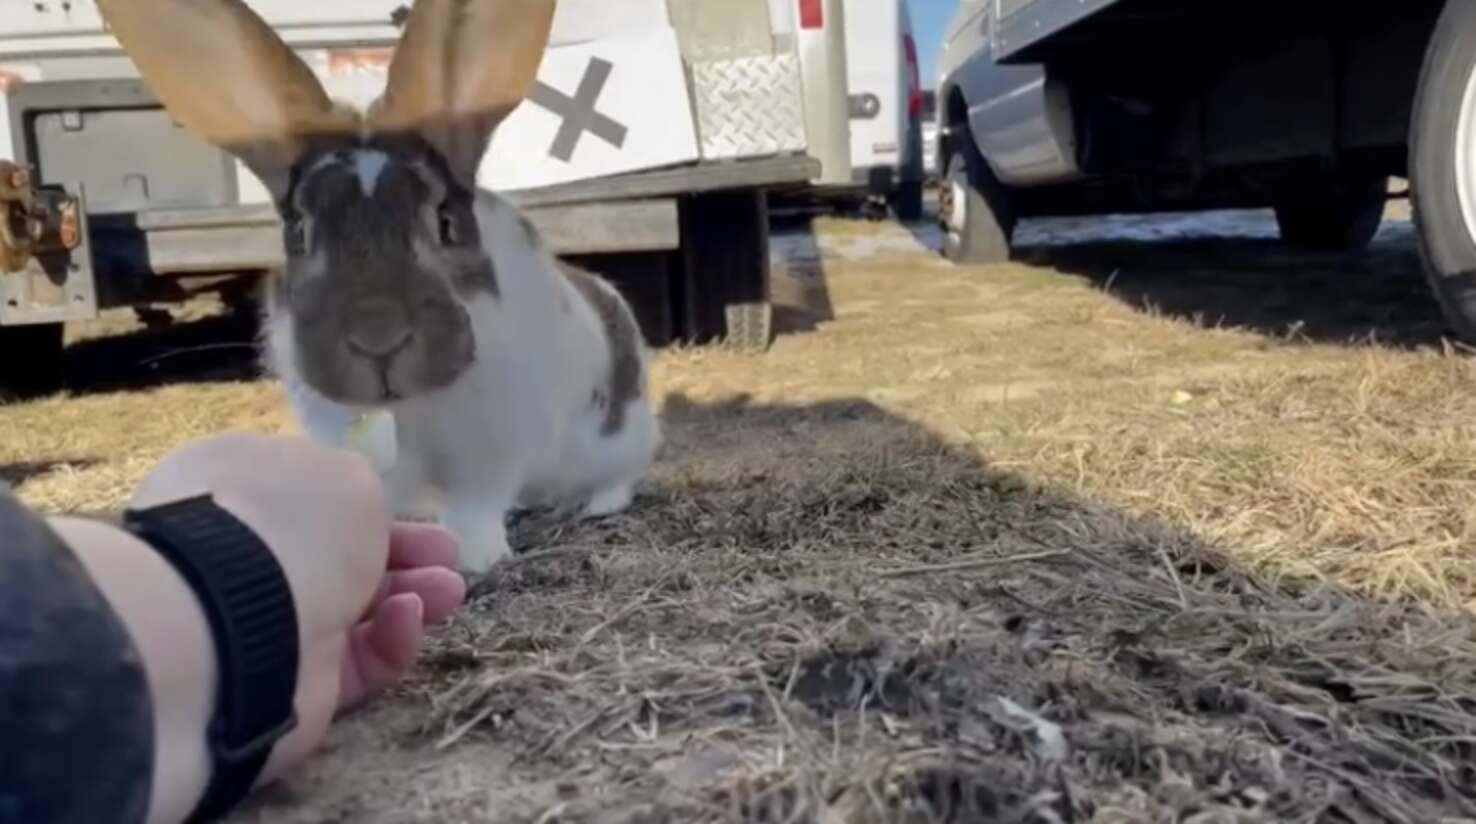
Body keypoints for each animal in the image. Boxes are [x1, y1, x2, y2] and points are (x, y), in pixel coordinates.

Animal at [97, 0, 661, 575]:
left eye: (446, 221)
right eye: (297, 231)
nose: (377, 337)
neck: (408, 409)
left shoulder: (490, 453)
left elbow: (475, 507)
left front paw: (475, 556)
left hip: (624, 437)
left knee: (619, 475)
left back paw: (595, 505)